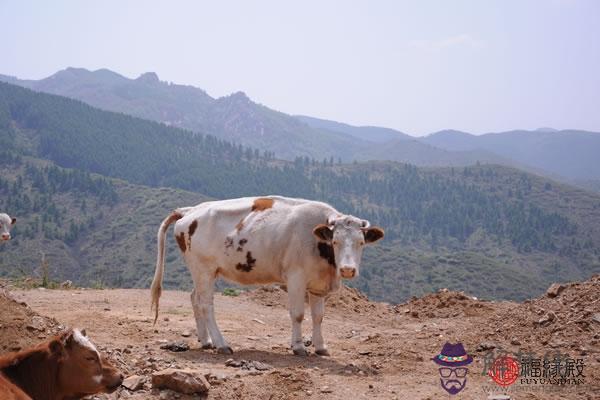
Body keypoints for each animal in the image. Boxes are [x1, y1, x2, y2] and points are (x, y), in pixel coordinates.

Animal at [150, 195, 384, 354]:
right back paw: (221, 344)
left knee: (194, 298)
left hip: (204, 271)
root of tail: (190, 210)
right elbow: (298, 314)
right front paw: (298, 347)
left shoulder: (318, 284)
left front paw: (320, 347)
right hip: (203, 268)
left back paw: (206, 340)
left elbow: (318, 316)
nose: (347, 269)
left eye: (361, 242)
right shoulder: (296, 278)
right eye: (335, 241)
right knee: (206, 304)